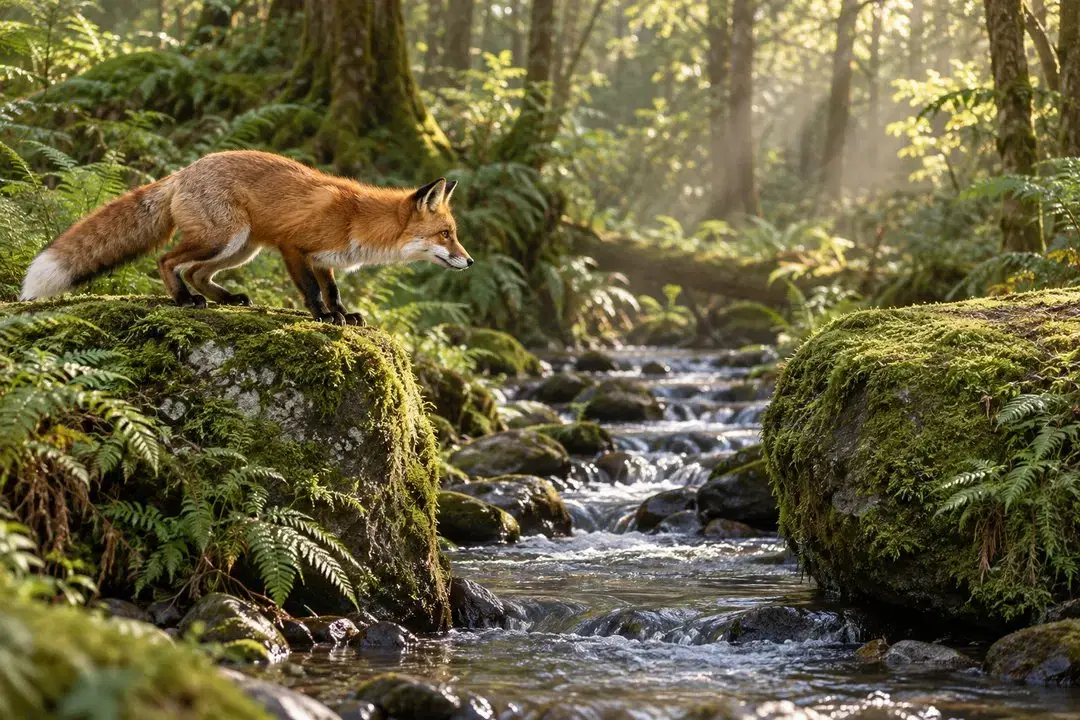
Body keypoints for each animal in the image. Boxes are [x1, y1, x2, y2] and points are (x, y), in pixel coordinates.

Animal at [19, 150, 473, 325]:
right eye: (446, 234)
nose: (469, 262)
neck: (357, 219)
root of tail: (184, 170)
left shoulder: (324, 259)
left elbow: (333, 290)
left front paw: (344, 315)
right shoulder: (294, 247)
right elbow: (312, 291)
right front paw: (324, 318)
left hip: (242, 250)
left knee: (198, 272)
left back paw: (225, 298)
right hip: (225, 239)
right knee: (168, 261)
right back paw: (183, 300)